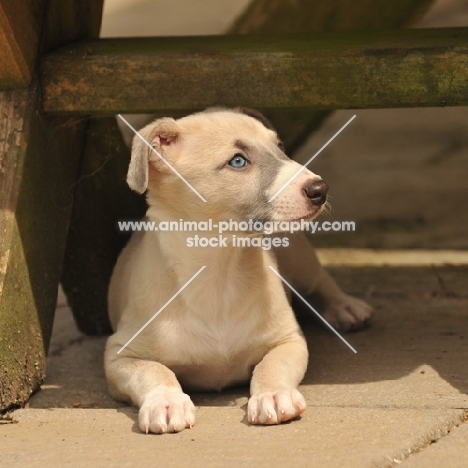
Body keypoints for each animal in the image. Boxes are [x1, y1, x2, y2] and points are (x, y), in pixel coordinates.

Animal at [105, 108, 372, 434]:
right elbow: (153, 371)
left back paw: (345, 307)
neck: (220, 272)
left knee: (320, 281)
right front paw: (166, 403)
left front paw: (273, 395)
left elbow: (270, 366)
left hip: (297, 255)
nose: (320, 189)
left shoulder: (289, 340)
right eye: (237, 161)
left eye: (280, 147)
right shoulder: (120, 354)